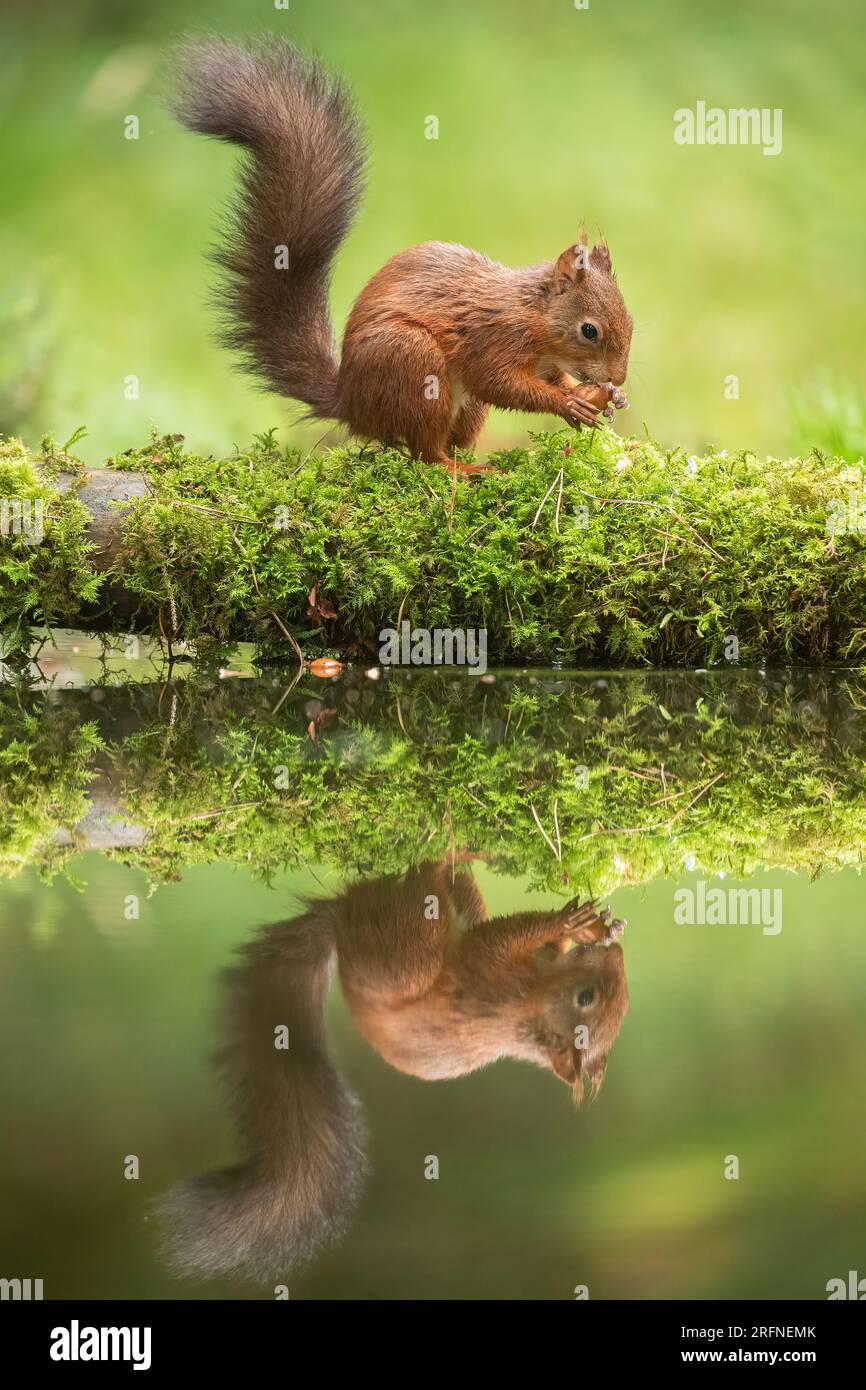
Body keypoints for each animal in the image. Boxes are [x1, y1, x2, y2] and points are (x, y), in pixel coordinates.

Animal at [157, 861, 631, 1284]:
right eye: (588, 997)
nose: (617, 954)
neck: (531, 1011)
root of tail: (340, 931)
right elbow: (513, 936)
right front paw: (590, 928)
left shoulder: (495, 984)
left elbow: (498, 937)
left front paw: (570, 924)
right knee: (453, 900)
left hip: (406, 953)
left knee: (412, 902)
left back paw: (436, 861)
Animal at [170, 39, 631, 472]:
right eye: (589, 330)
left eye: (630, 322)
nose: (619, 376)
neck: (533, 315)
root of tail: (350, 402)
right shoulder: (494, 338)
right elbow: (500, 383)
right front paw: (567, 402)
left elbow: (551, 377)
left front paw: (605, 396)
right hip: (413, 362)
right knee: (425, 452)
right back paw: (462, 470)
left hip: (461, 406)